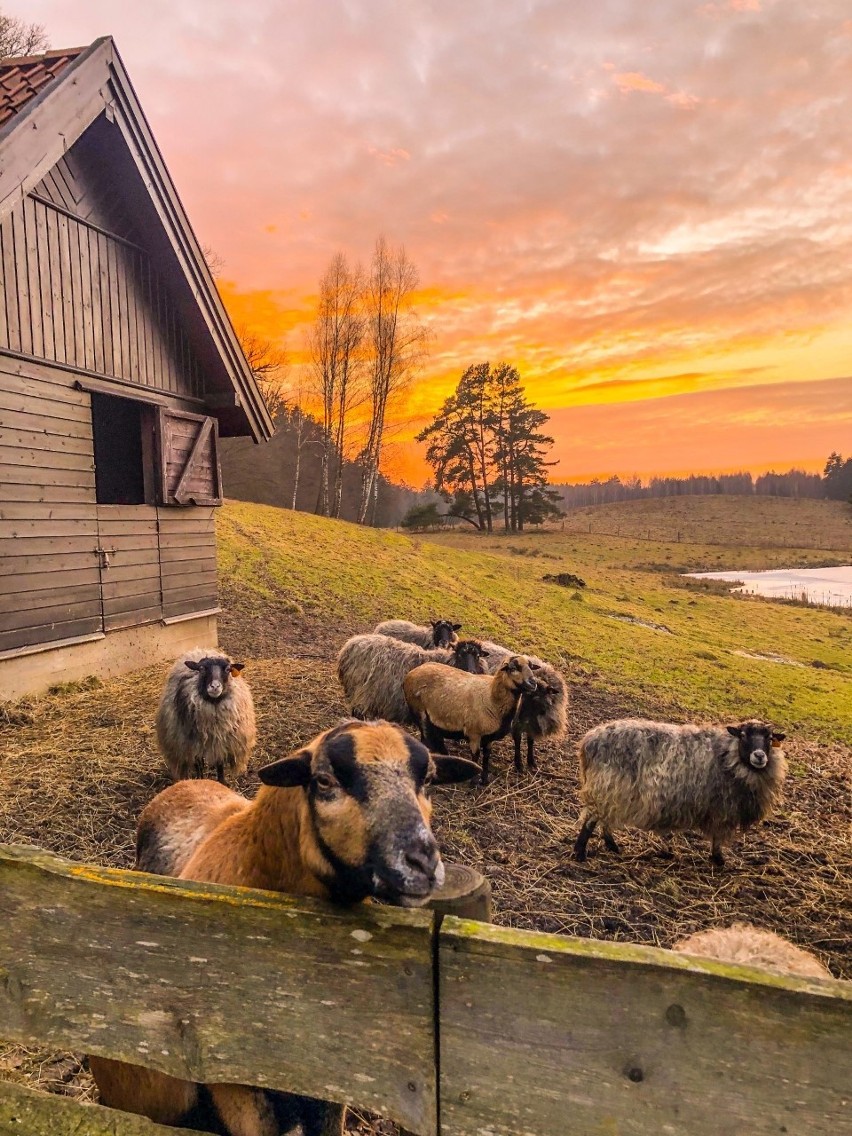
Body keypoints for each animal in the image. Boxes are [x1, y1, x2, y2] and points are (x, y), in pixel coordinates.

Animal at [155, 649, 256, 781]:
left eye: (228, 669)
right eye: (201, 669)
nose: (215, 686)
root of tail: (199, 650)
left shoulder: (221, 742)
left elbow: (219, 764)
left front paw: (222, 781)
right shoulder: (192, 745)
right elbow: (198, 765)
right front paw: (201, 779)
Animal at [404, 654, 536, 786]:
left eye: (531, 666)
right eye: (513, 668)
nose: (533, 683)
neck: (491, 699)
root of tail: (413, 671)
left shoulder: (489, 737)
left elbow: (486, 756)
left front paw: (485, 780)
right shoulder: (474, 734)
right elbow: (476, 755)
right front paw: (474, 782)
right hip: (419, 711)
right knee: (426, 738)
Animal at [574, 713, 786, 863]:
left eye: (769, 739)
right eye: (743, 735)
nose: (759, 756)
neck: (728, 756)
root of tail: (589, 741)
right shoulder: (722, 810)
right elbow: (717, 837)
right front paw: (718, 860)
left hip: (612, 792)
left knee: (604, 819)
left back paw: (612, 846)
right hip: (607, 786)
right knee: (592, 819)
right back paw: (580, 853)